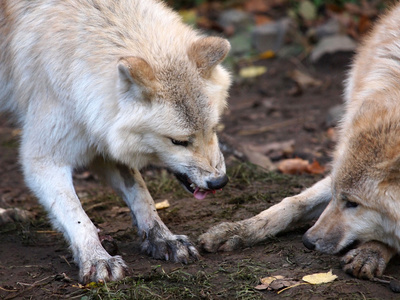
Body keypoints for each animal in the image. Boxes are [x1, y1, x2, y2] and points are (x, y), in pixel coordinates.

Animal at [0, 0, 231, 282]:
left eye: (213, 128)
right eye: (178, 142)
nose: (219, 182)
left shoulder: (103, 141)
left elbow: (142, 196)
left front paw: (163, 238)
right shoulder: (43, 159)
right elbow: (76, 215)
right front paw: (97, 258)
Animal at [200, 2, 400, 280]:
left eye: (354, 203)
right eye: (339, 197)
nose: (307, 241)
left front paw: (371, 252)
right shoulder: (330, 179)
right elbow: (291, 204)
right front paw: (236, 230)